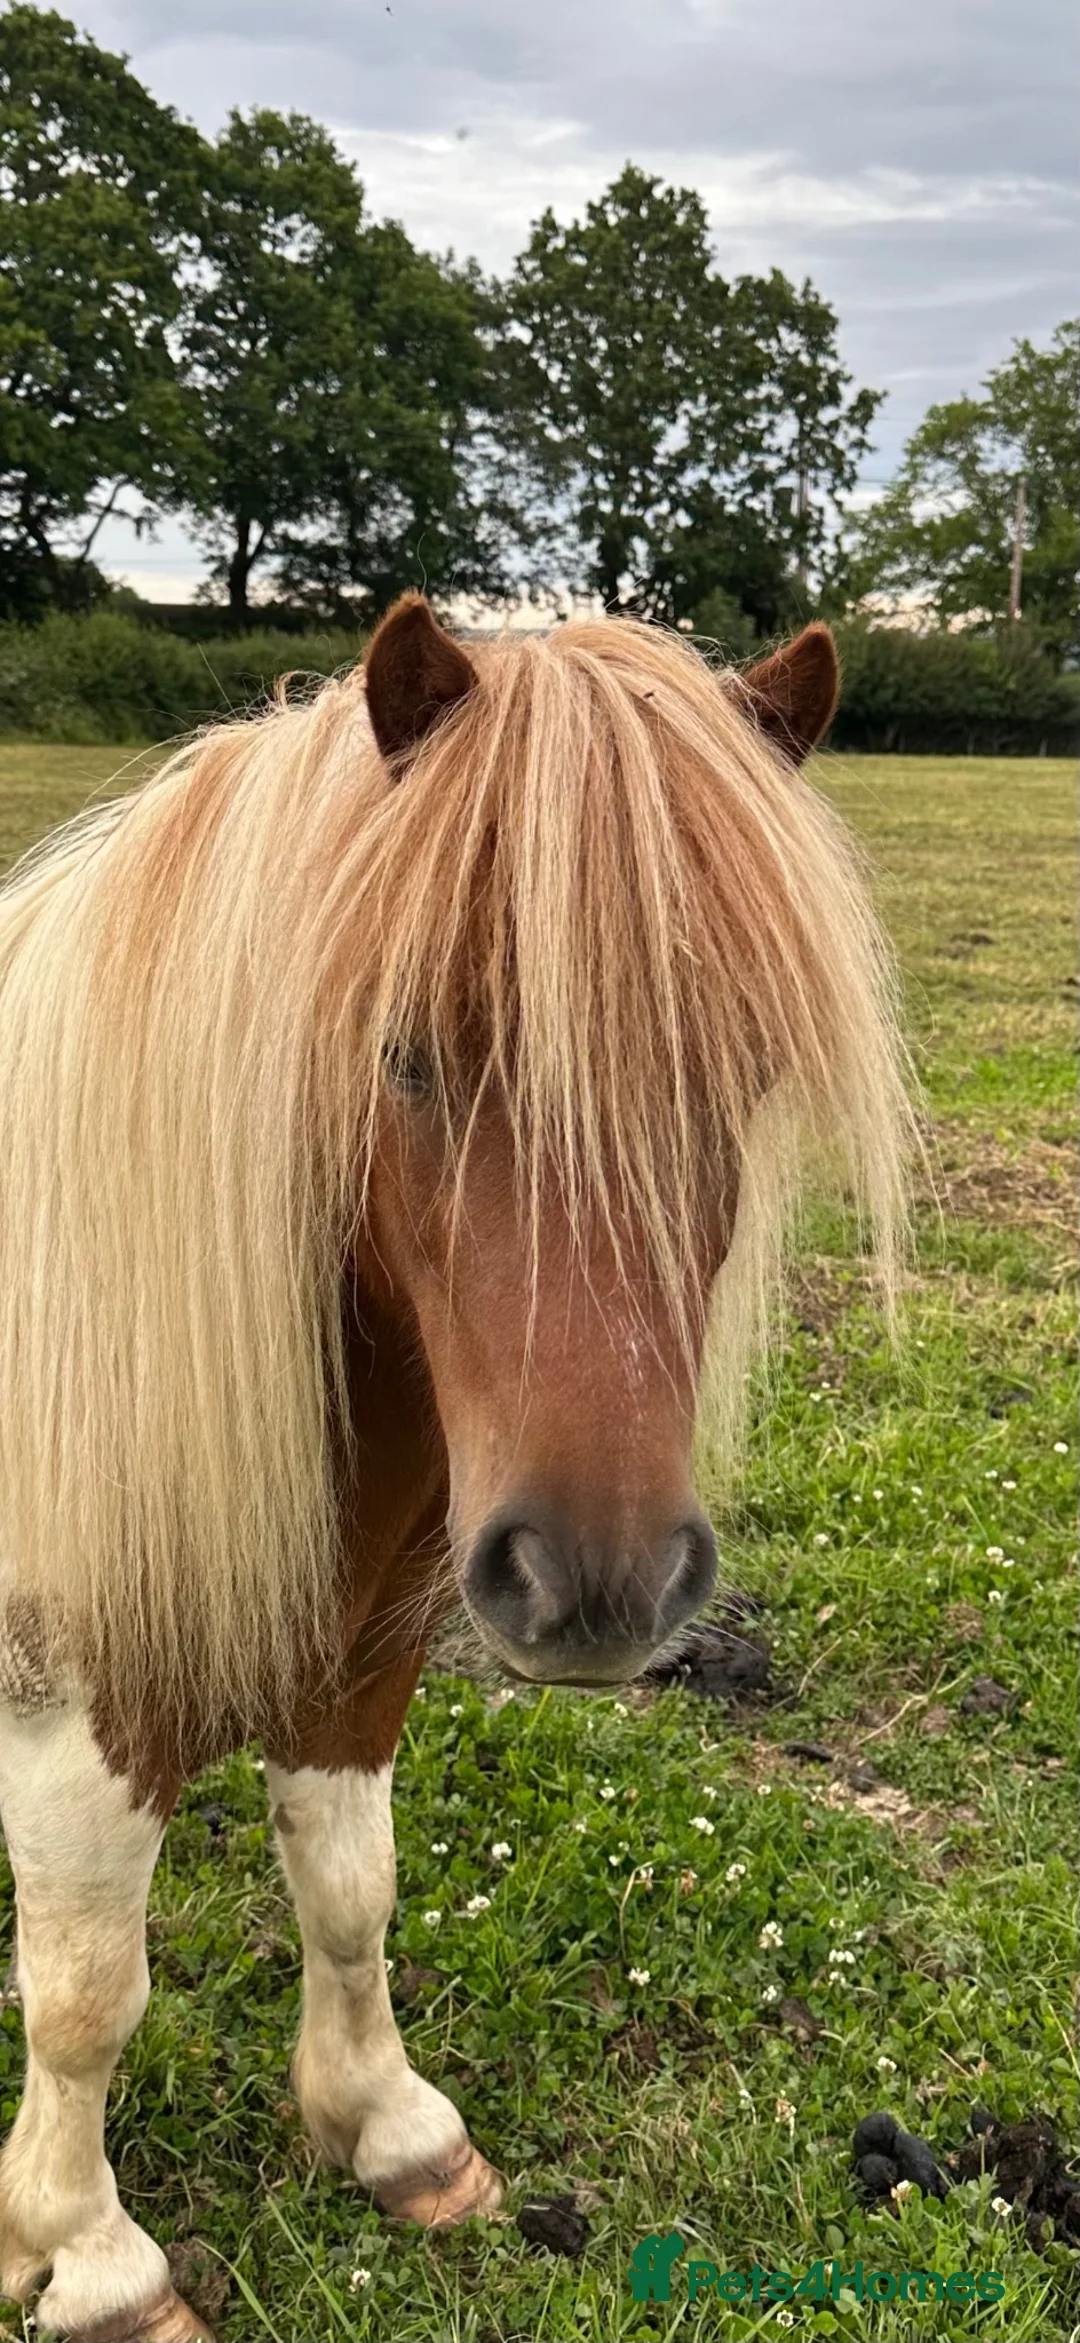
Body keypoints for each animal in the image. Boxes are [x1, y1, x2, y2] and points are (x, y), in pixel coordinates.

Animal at [0, 596, 911, 2341]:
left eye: (753, 1067)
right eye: (405, 1053)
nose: (602, 1579)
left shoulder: (359, 1644)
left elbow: (352, 1885)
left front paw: (388, 2125)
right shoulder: (81, 1686)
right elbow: (87, 1986)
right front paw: (89, 2253)